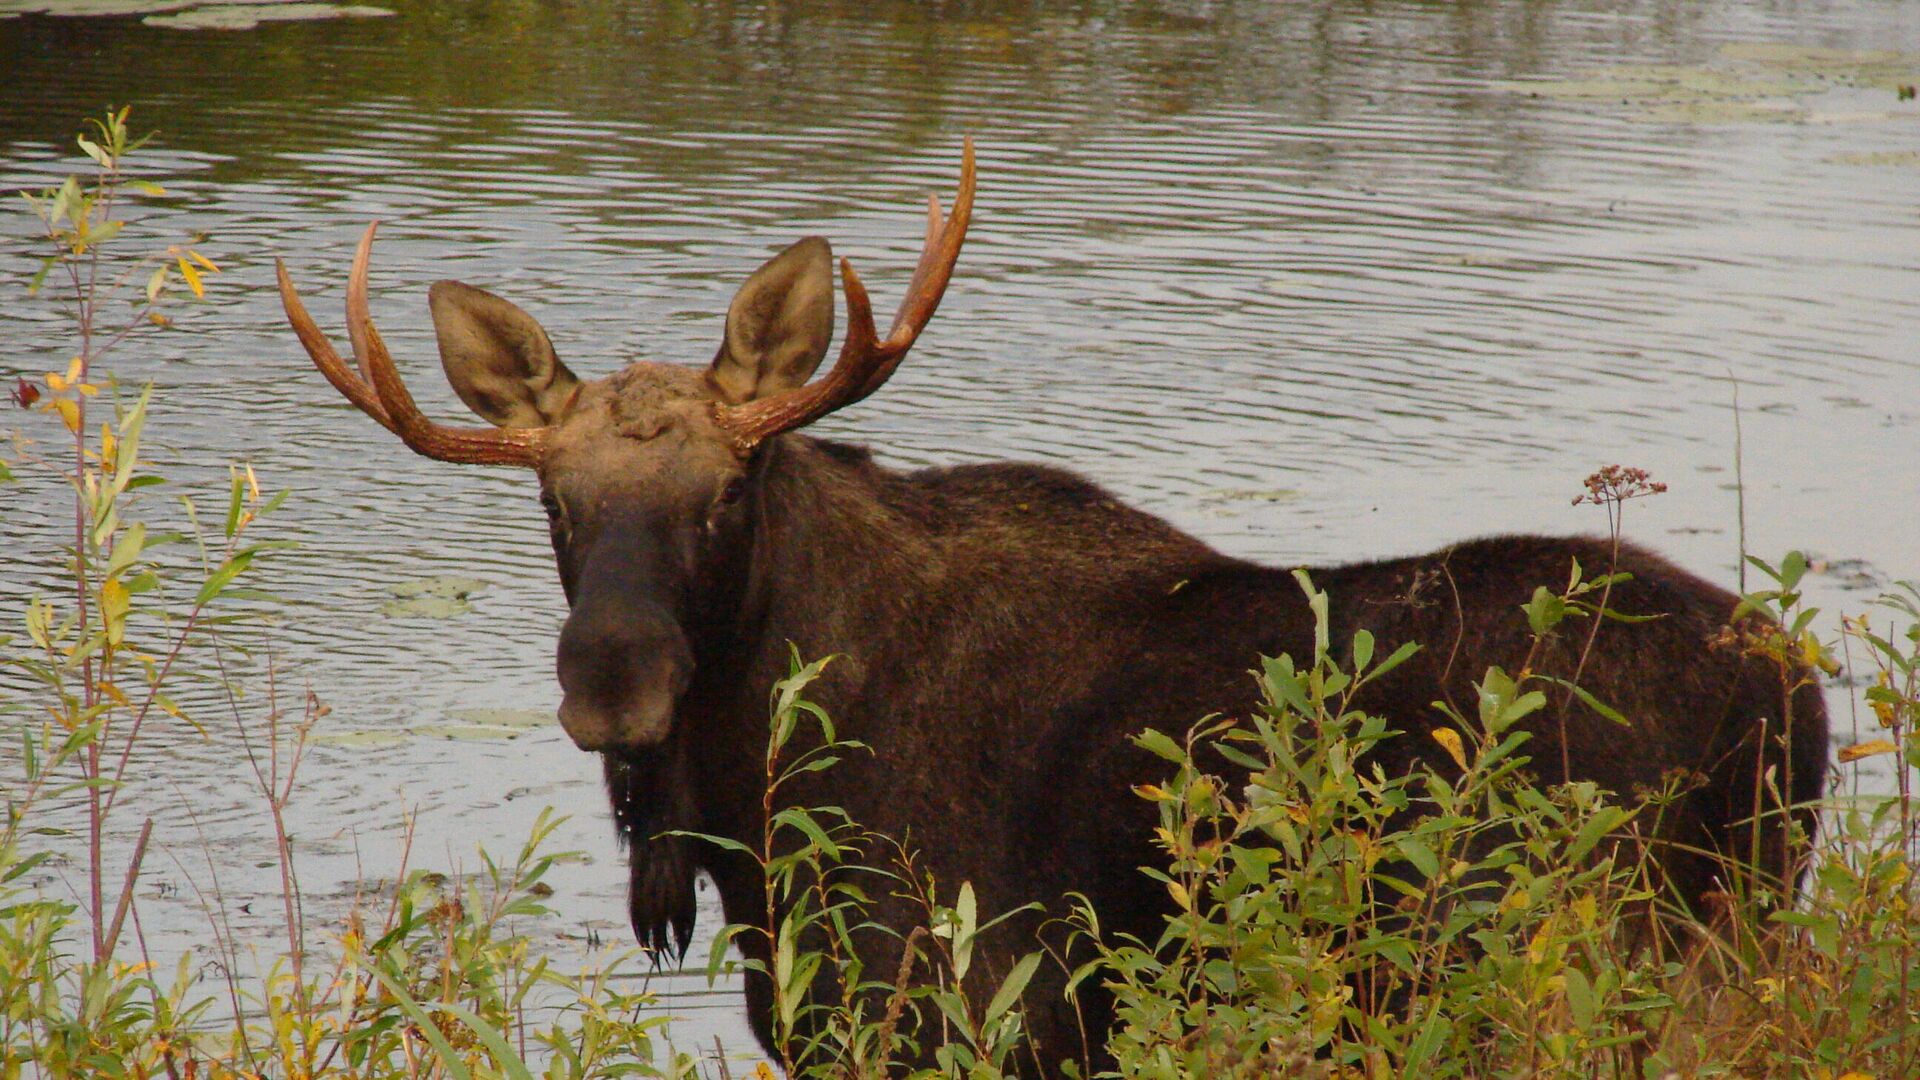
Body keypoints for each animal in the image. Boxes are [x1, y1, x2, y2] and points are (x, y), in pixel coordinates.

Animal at [280, 141, 1827, 1068]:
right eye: (555, 503)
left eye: (726, 492)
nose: (611, 679)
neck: (754, 822)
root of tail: (1798, 701)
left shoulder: (965, 1014)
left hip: (1602, 954)